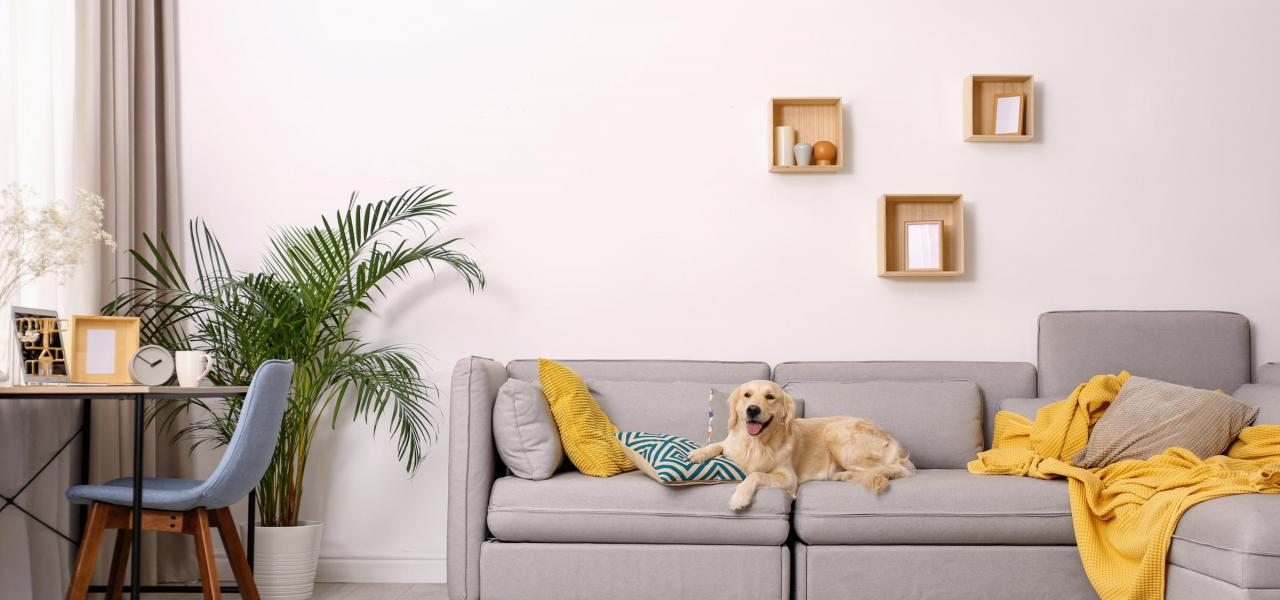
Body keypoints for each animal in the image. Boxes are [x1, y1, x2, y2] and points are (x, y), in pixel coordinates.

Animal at [691, 378, 911, 509]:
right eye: (747, 395)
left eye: (770, 397)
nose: (752, 409)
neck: (756, 443)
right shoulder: (730, 444)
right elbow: (717, 444)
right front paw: (698, 454)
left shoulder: (789, 478)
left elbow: (755, 474)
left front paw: (740, 496)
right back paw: (842, 475)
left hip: (838, 435)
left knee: (897, 469)